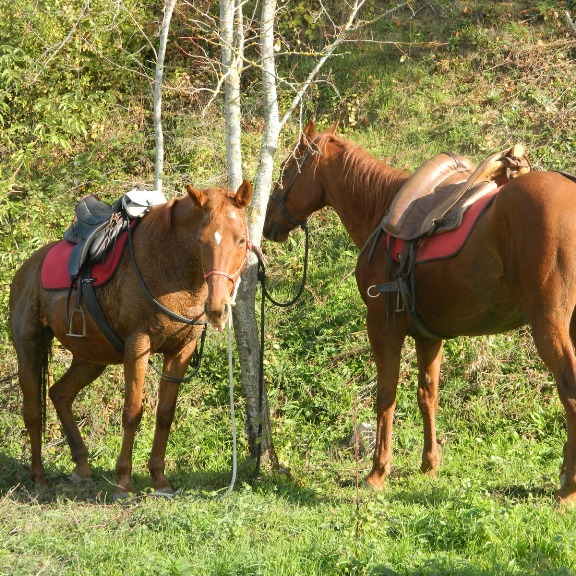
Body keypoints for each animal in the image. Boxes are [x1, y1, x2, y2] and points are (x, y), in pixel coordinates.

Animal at [9, 179, 252, 496]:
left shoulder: (181, 351)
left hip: (91, 358)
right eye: (201, 240)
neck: (168, 265)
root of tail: (27, 268)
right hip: (30, 347)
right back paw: (38, 476)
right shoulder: (138, 345)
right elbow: (133, 412)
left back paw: (82, 466)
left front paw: (159, 479)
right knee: (33, 410)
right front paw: (124, 481)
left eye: (241, 240)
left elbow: (165, 414)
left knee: (59, 394)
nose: (217, 308)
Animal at [264, 120, 576, 504]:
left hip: (550, 325)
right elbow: (427, 396)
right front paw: (430, 464)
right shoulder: (429, 335)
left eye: (287, 169)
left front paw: (377, 472)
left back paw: (567, 489)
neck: (381, 212)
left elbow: (386, 396)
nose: (268, 222)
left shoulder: (382, 328)